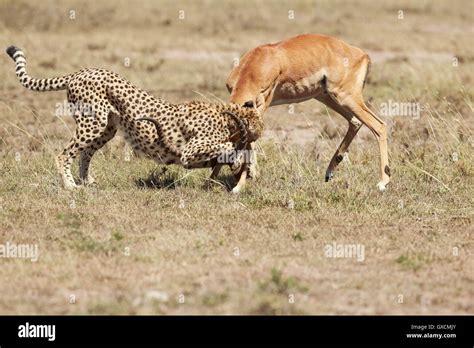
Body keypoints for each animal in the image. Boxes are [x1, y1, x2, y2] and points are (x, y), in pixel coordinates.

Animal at [6, 44, 262, 192]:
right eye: (258, 125)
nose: (260, 133)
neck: (229, 118)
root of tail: (81, 72)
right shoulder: (189, 152)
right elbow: (225, 147)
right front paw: (237, 161)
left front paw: (241, 167)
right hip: (93, 123)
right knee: (64, 154)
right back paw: (70, 185)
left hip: (107, 128)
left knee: (85, 154)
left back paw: (88, 182)